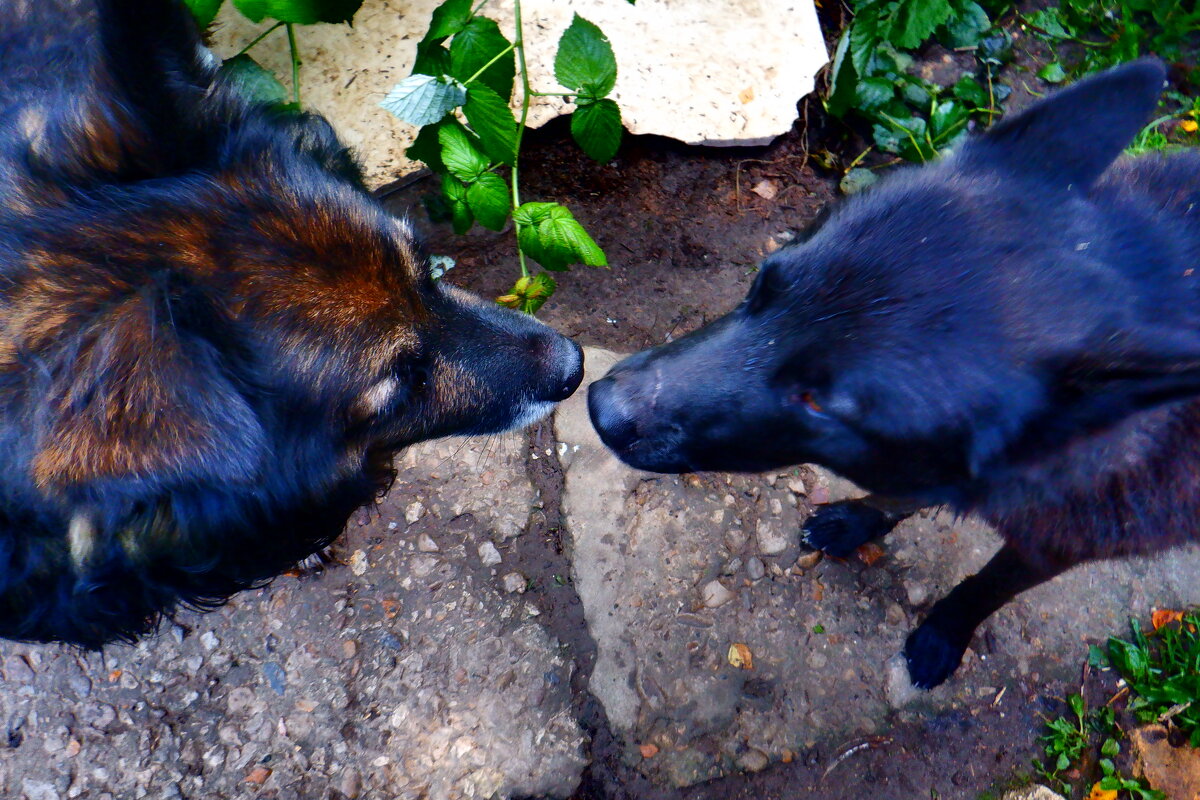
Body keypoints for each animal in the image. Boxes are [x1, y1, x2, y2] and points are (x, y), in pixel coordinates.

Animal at [590, 61, 1200, 690]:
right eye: (761, 285)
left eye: (816, 402)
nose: (601, 408)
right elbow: (899, 490)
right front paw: (858, 520)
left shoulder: (1055, 543)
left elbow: (985, 589)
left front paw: (943, 634)